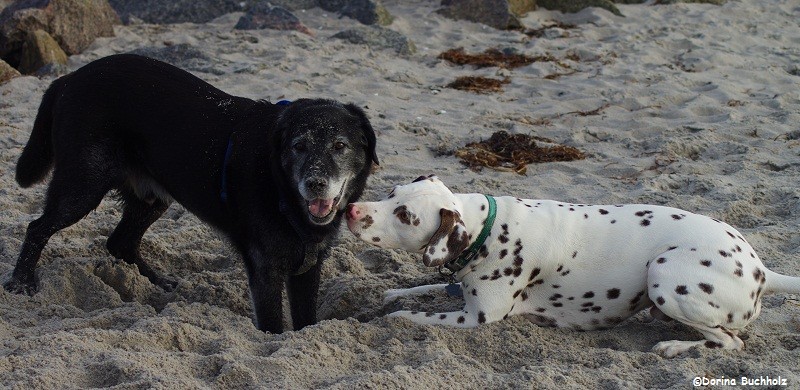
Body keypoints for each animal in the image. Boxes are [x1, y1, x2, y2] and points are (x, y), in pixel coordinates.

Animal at [3, 54, 378, 334]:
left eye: (339, 146)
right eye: (299, 146)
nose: (315, 184)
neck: (281, 189)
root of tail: (68, 79)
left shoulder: (308, 265)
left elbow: (306, 321)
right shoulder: (265, 267)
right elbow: (273, 323)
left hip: (152, 198)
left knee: (120, 241)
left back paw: (158, 282)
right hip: (83, 185)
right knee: (38, 227)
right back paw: (21, 282)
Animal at [346, 176, 800, 356]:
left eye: (404, 215)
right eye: (391, 191)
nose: (352, 209)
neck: (488, 228)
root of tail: (762, 270)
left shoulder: (476, 319)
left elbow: (411, 316)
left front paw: (394, 318)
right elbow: (418, 289)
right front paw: (394, 292)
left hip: (665, 275)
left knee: (730, 342)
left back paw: (673, 347)